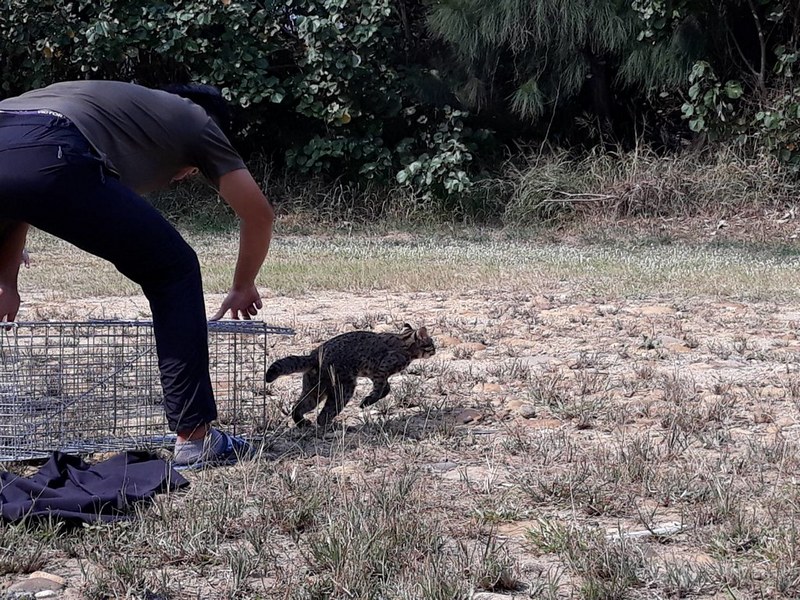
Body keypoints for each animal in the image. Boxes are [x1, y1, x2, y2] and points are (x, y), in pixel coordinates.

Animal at [266, 324, 434, 426]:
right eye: (432, 344)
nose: (435, 350)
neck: (406, 344)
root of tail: (313, 355)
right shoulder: (382, 369)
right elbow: (381, 389)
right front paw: (367, 401)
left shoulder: (375, 373)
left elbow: (385, 388)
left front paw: (369, 400)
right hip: (344, 389)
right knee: (322, 416)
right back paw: (334, 426)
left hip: (315, 390)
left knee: (298, 406)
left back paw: (302, 423)